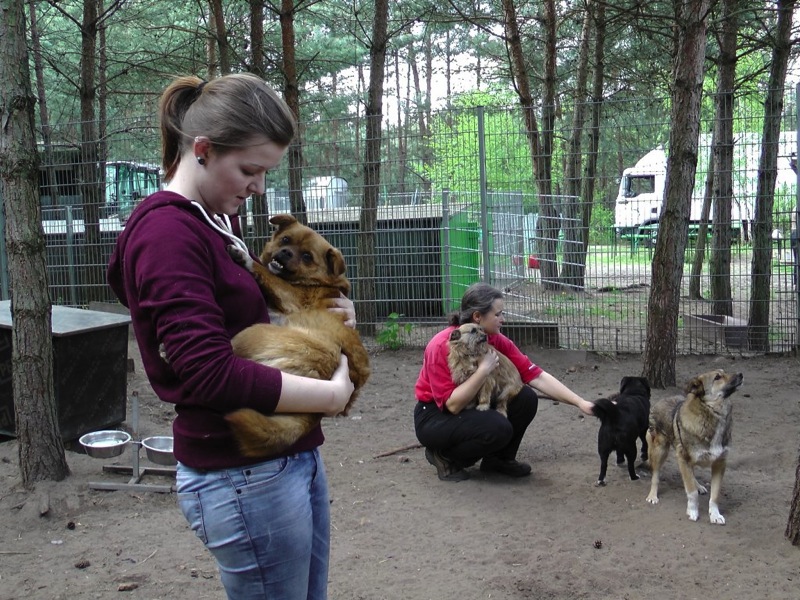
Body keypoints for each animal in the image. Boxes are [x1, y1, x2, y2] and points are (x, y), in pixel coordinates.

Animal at [224, 214, 371, 458]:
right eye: (285, 240)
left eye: (307, 256)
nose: (285, 253)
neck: (313, 282)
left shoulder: (291, 296)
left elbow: (265, 273)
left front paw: (244, 257)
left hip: (252, 332)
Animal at [645, 369, 744, 524]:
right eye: (717, 377)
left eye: (724, 372)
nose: (741, 374)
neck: (714, 415)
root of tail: (661, 400)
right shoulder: (683, 458)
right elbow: (691, 492)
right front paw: (692, 511)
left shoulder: (720, 463)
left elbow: (715, 495)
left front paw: (715, 515)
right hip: (659, 450)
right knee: (655, 474)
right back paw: (653, 495)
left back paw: (698, 485)